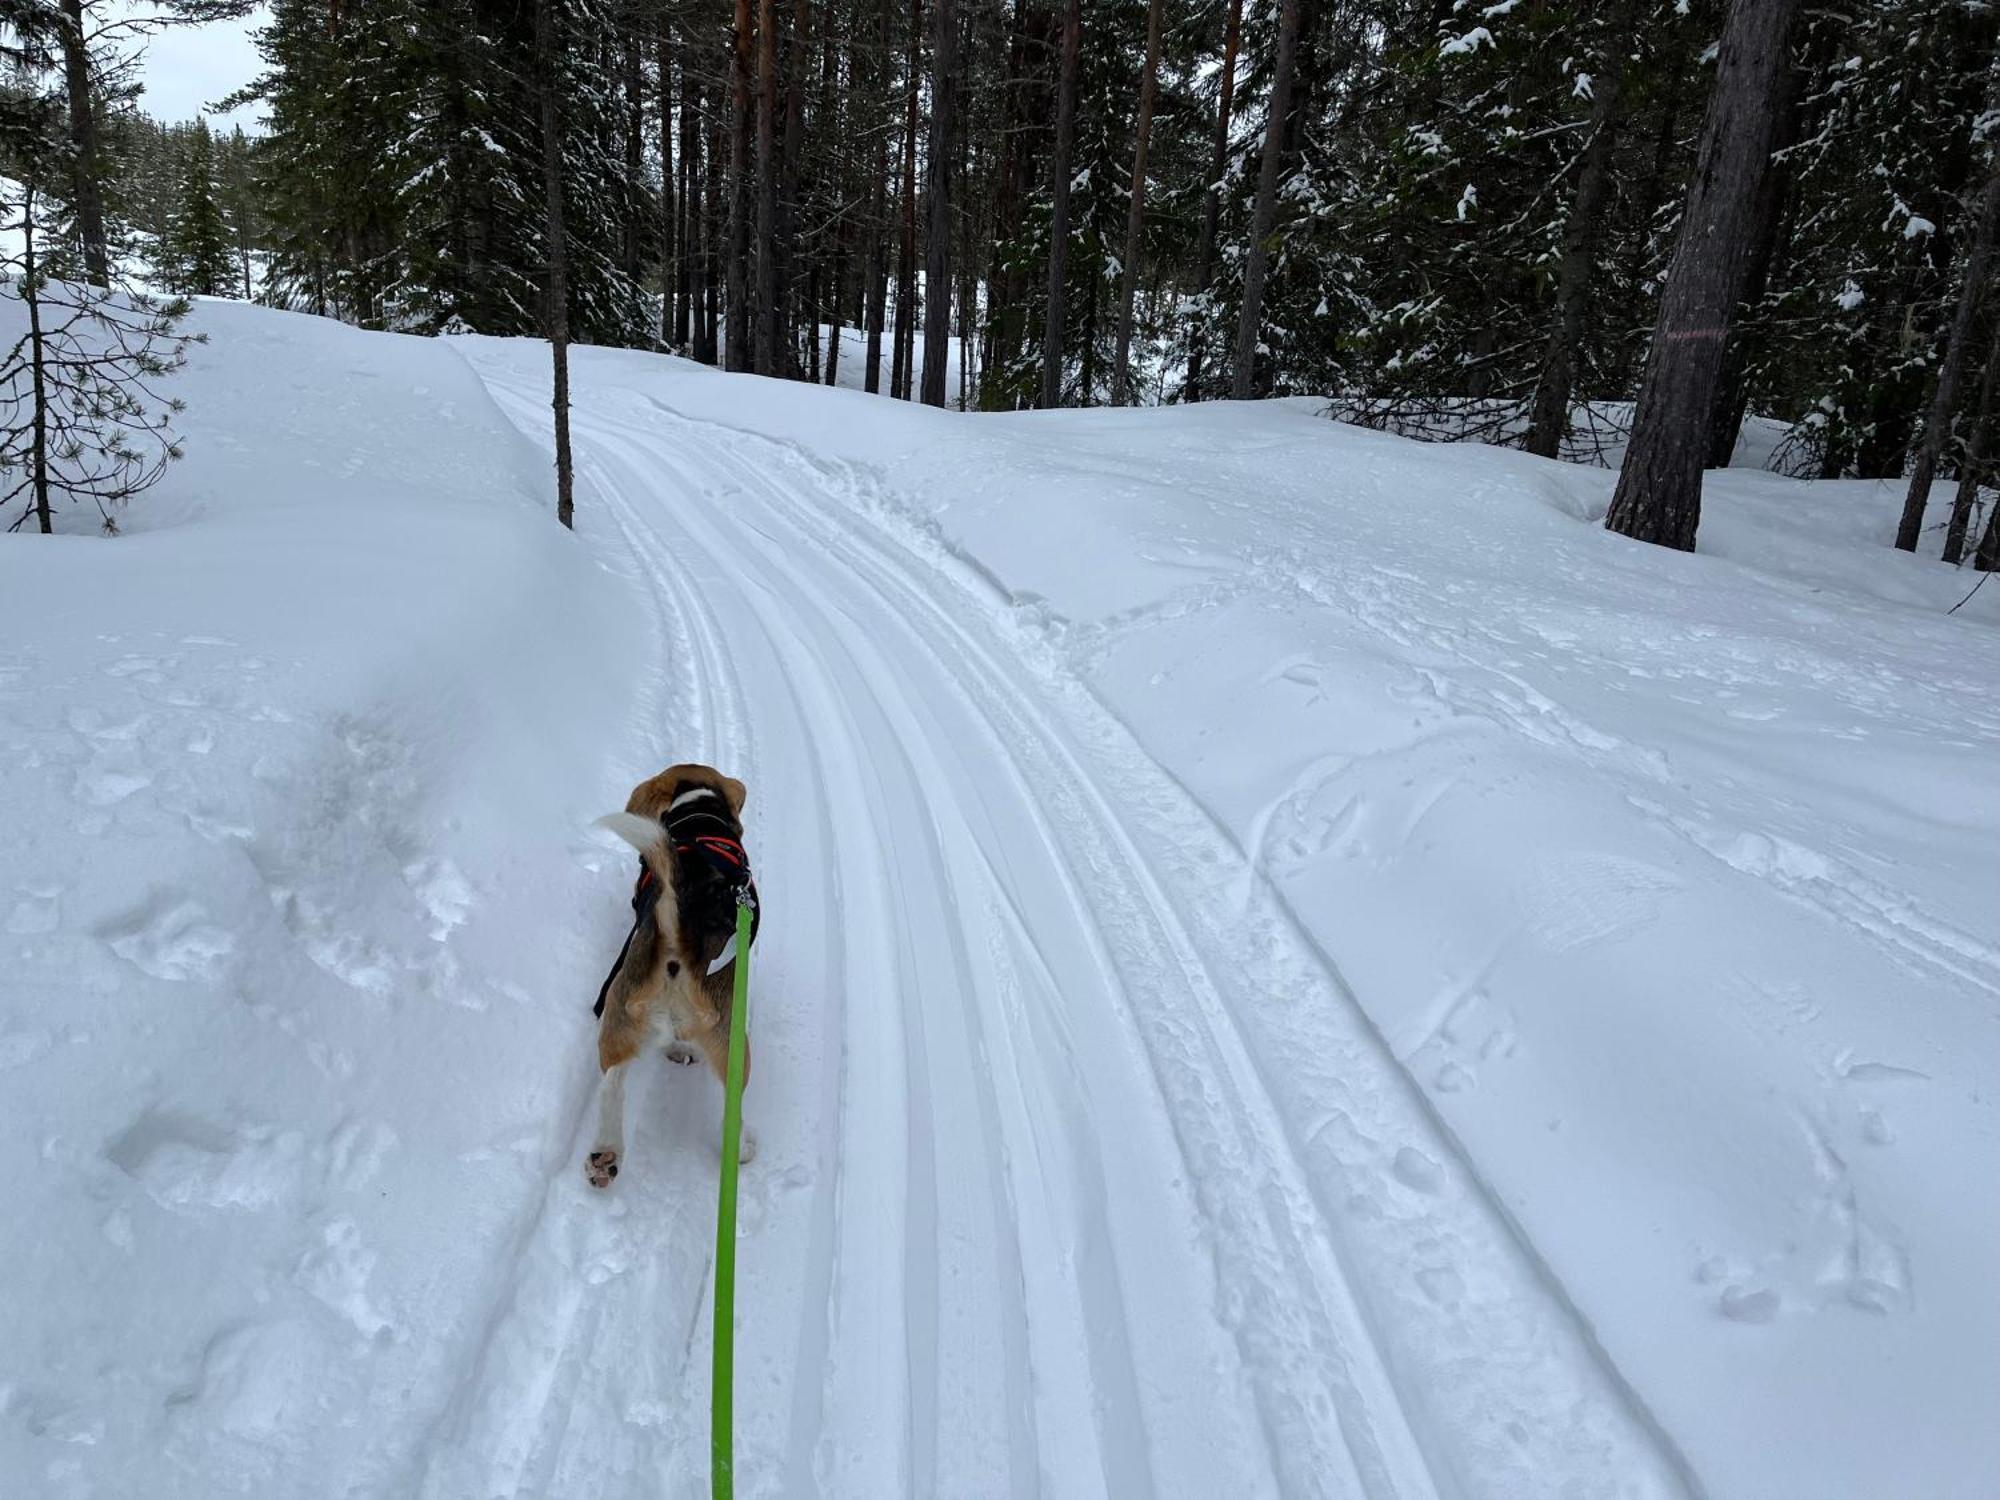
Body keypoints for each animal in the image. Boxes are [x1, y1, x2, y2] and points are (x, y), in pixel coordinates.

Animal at [588, 768, 760, 1192]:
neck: (698, 816)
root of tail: (676, 942)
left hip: (619, 1012)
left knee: (612, 1083)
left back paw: (605, 1154)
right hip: (732, 1044)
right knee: (730, 1104)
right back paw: (742, 1149)